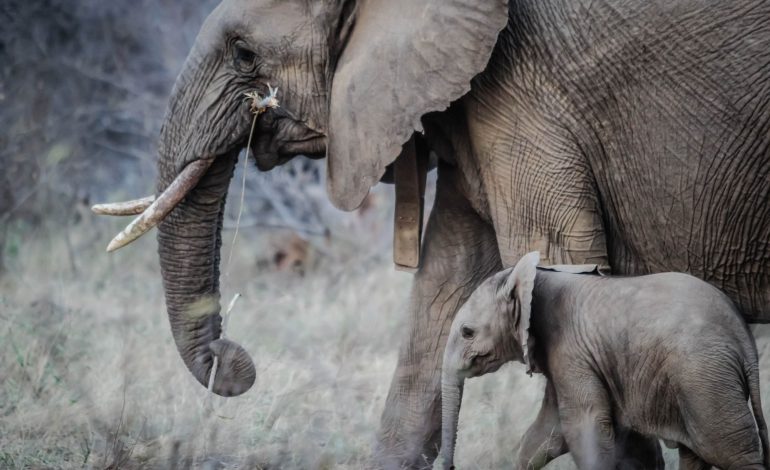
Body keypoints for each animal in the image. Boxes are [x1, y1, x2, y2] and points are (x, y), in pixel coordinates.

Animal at [440, 253, 764, 470]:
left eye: (467, 332)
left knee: (730, 451)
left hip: (704, 378)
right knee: (696, 454)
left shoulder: (571, 349)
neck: (534, 277)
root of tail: (744, 339)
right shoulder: (564, 357)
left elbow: (585, 427)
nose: (451, 465)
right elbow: (547, 433)